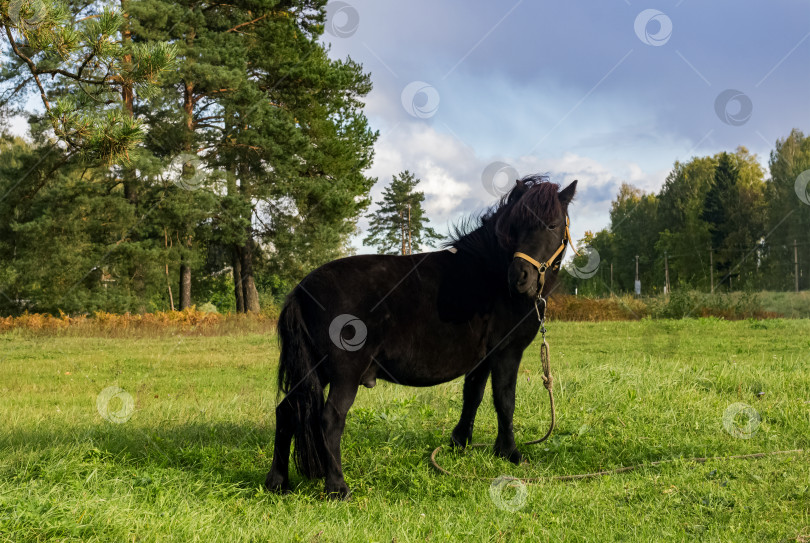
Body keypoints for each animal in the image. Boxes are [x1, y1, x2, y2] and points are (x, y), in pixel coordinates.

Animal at [266, 176, 576, 500]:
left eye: (552, 225)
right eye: (515, 227)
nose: (520, 277)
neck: (490, 274)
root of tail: (300, 290)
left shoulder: (482, 358)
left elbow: (473, 396)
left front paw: (459, 443)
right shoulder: (507, 353)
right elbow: (505, 400)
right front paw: (510, 453)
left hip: (315, 370)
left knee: (286, 411)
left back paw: (277, 482)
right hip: (344, 374)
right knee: (330, 420)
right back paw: (337, 487)